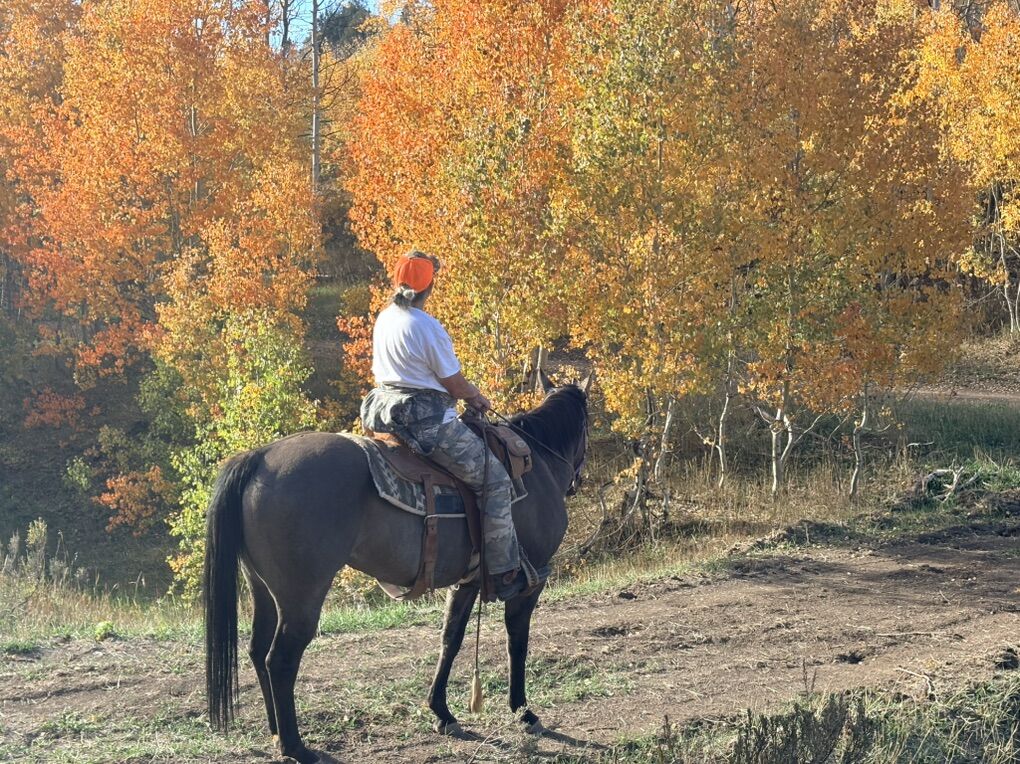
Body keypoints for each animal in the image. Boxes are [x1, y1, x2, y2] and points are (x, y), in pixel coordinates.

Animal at [204, 375, 591, 763]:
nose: (577, 481)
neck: (537, 462)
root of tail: (259, 457)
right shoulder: (532, 579)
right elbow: (517, 642)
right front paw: (523, 712)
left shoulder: (464, 584)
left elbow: (450, 640)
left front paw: (442, 712)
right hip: (301, 598)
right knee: (279, 660)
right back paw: (295, 745)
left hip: (263, 590)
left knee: (257, 651)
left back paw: (274, 731)